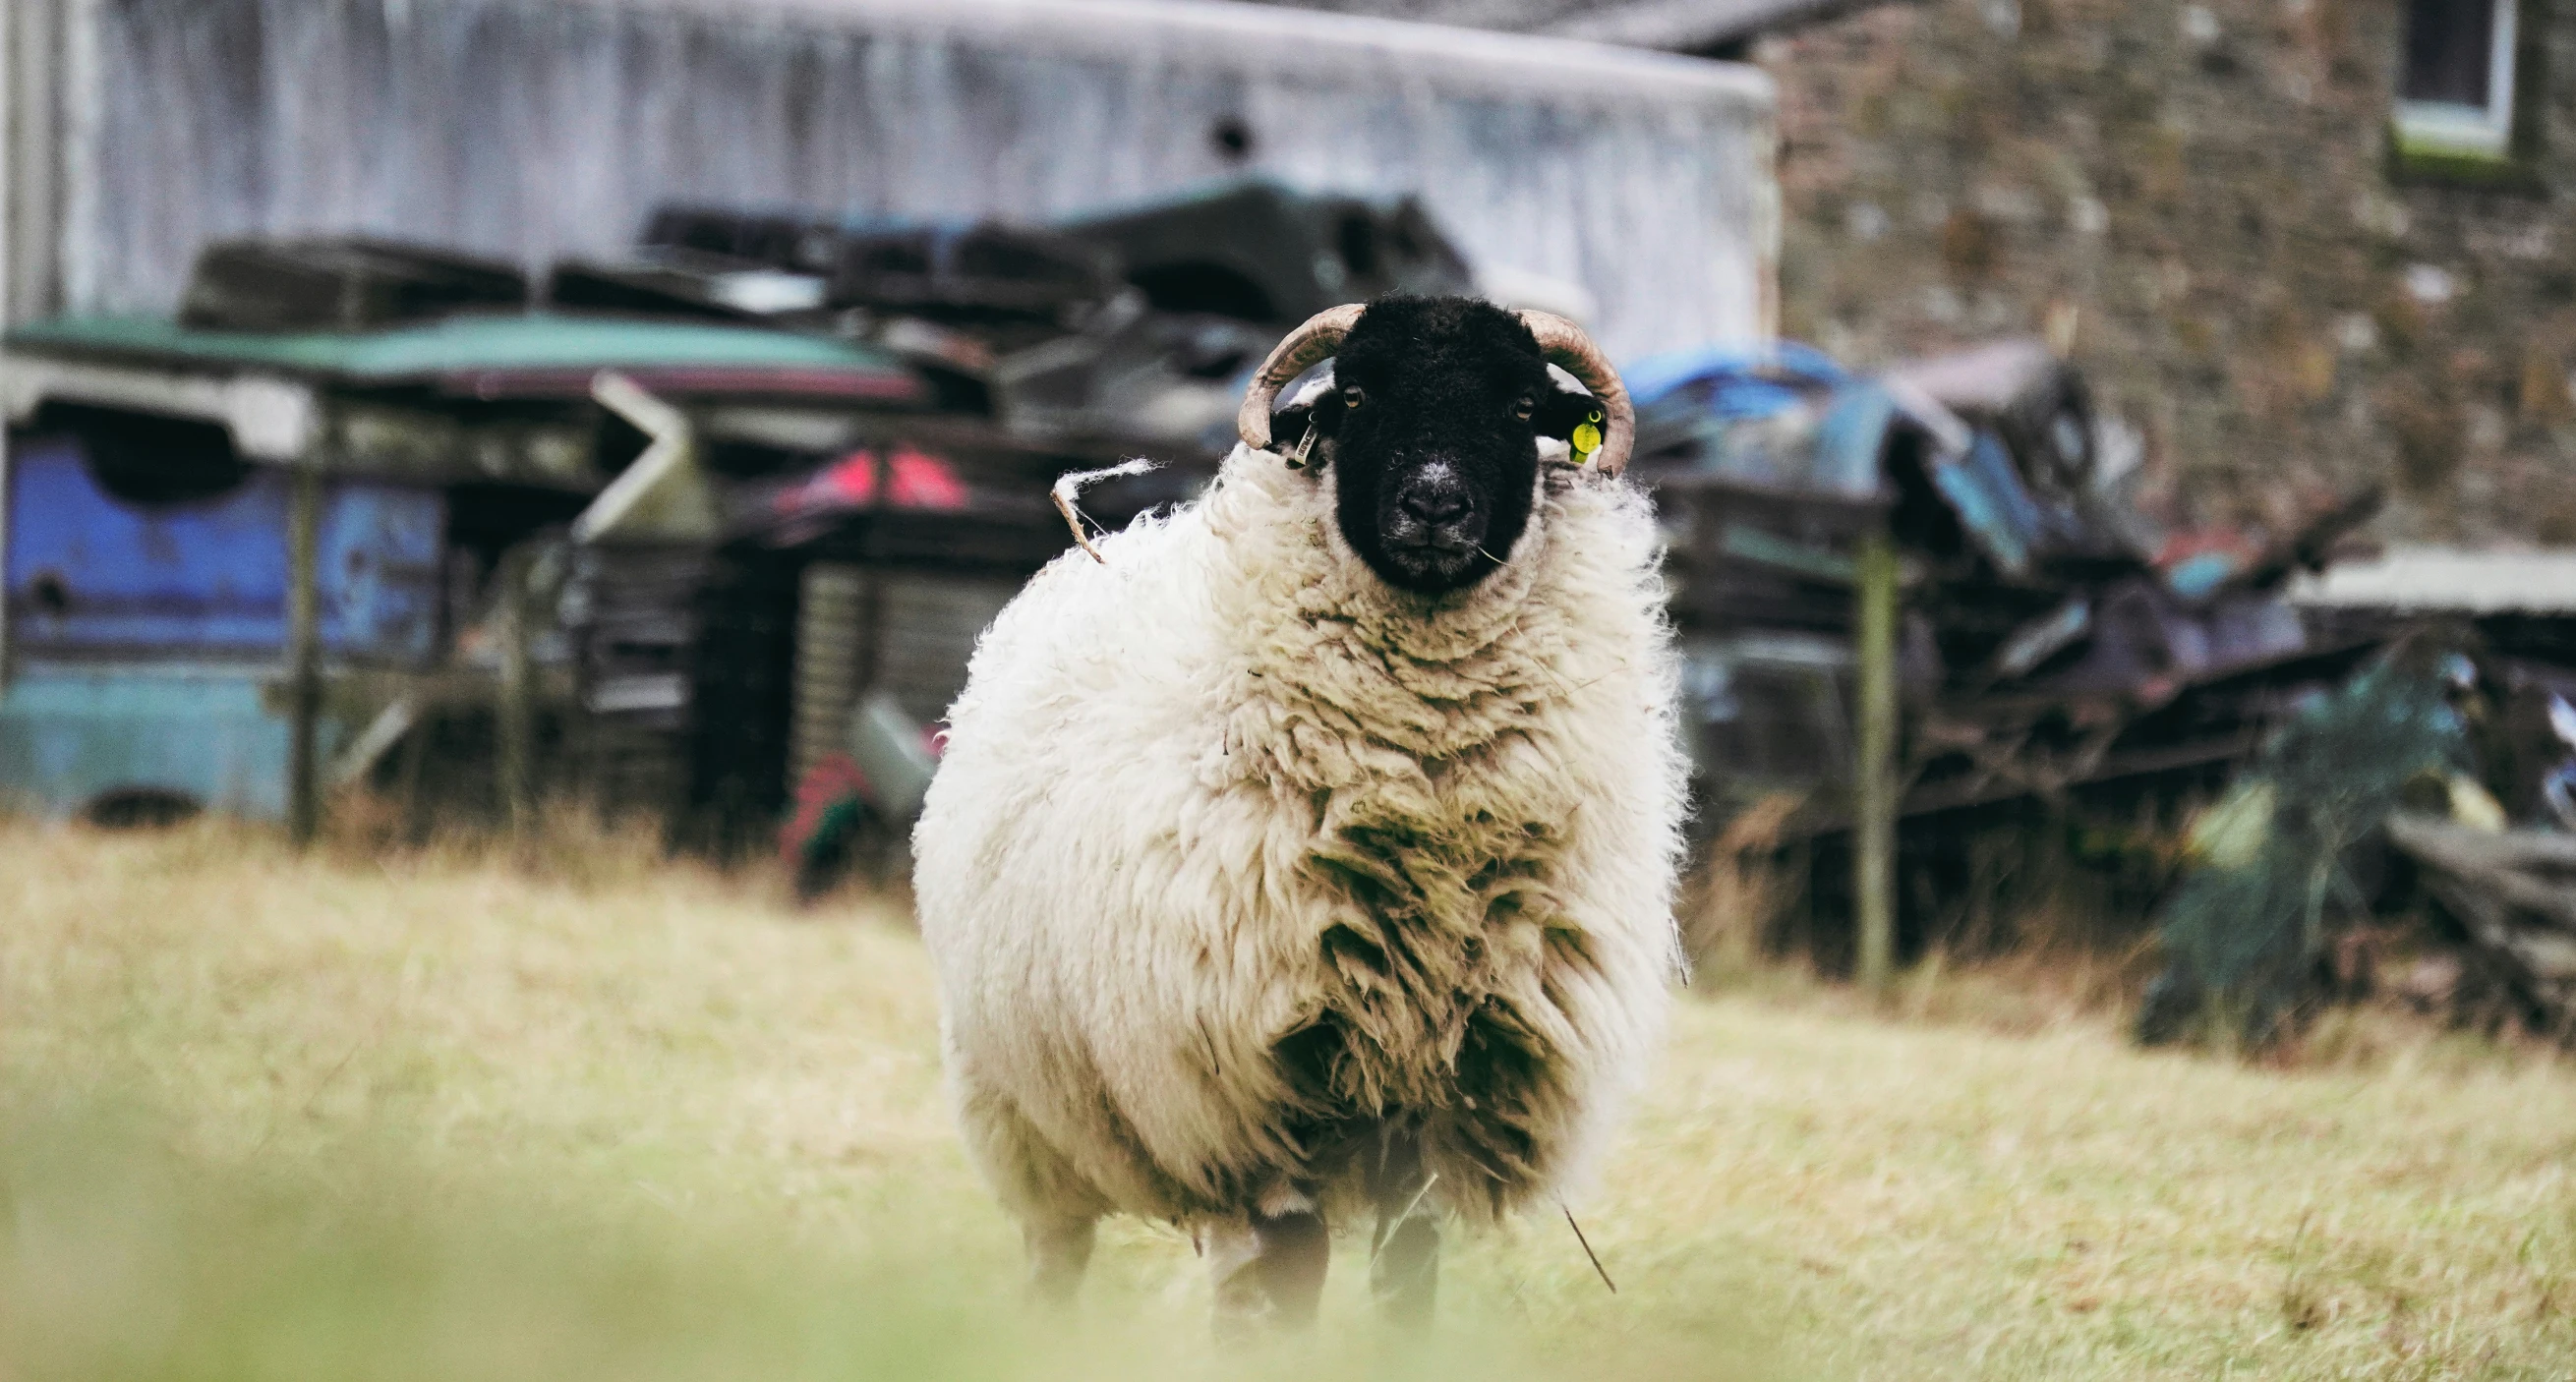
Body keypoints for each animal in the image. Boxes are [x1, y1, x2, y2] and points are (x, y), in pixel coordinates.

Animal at [911, 296, 1689, 1328]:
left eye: (1523, 406)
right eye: (1355, 395)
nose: (1434, 505)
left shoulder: (1440, 1095)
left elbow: (1407, 1274)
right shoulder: (1255, 1083)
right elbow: (1287, 1273)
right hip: (1021, 1100)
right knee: (1059, 1246)